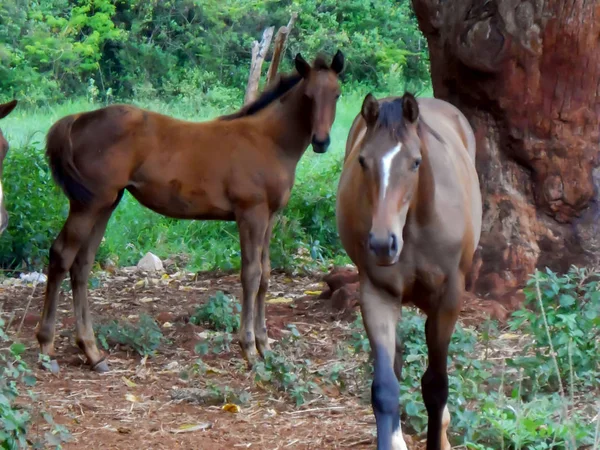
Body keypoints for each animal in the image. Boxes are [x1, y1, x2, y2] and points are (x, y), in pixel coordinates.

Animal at [37, 50, 344, 372]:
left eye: (337, 93)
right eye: (308, 96)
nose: (321, 142)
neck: (267, 140)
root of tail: (79, 119)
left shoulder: (270, 217)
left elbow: (266, 274)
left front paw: (265, 346)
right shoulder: (251, 213)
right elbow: (251, 274)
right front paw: (249, 348)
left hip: (106, 203)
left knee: (82, 264)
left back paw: (92, 352)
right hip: (88, 204)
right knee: (61, 255)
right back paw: (46, 345)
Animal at [338, 92, 482, 450]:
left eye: (416, 162)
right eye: (363, 161)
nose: (381, 243)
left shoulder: (448, 300)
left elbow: (436, 387)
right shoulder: (377, 294)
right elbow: (385, 388)